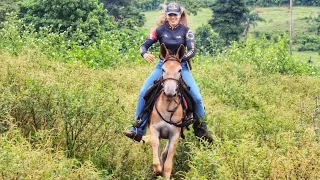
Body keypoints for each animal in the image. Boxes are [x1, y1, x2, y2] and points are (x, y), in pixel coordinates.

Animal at [149, 43, 188, 179]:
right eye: (163, 69)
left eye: (180, 70)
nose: (170, 92)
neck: (168, 106)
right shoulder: (154, 129)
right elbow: (155, 145)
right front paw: (157, 169)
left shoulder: (175, 135)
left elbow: (168, 165)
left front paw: (163, 173)